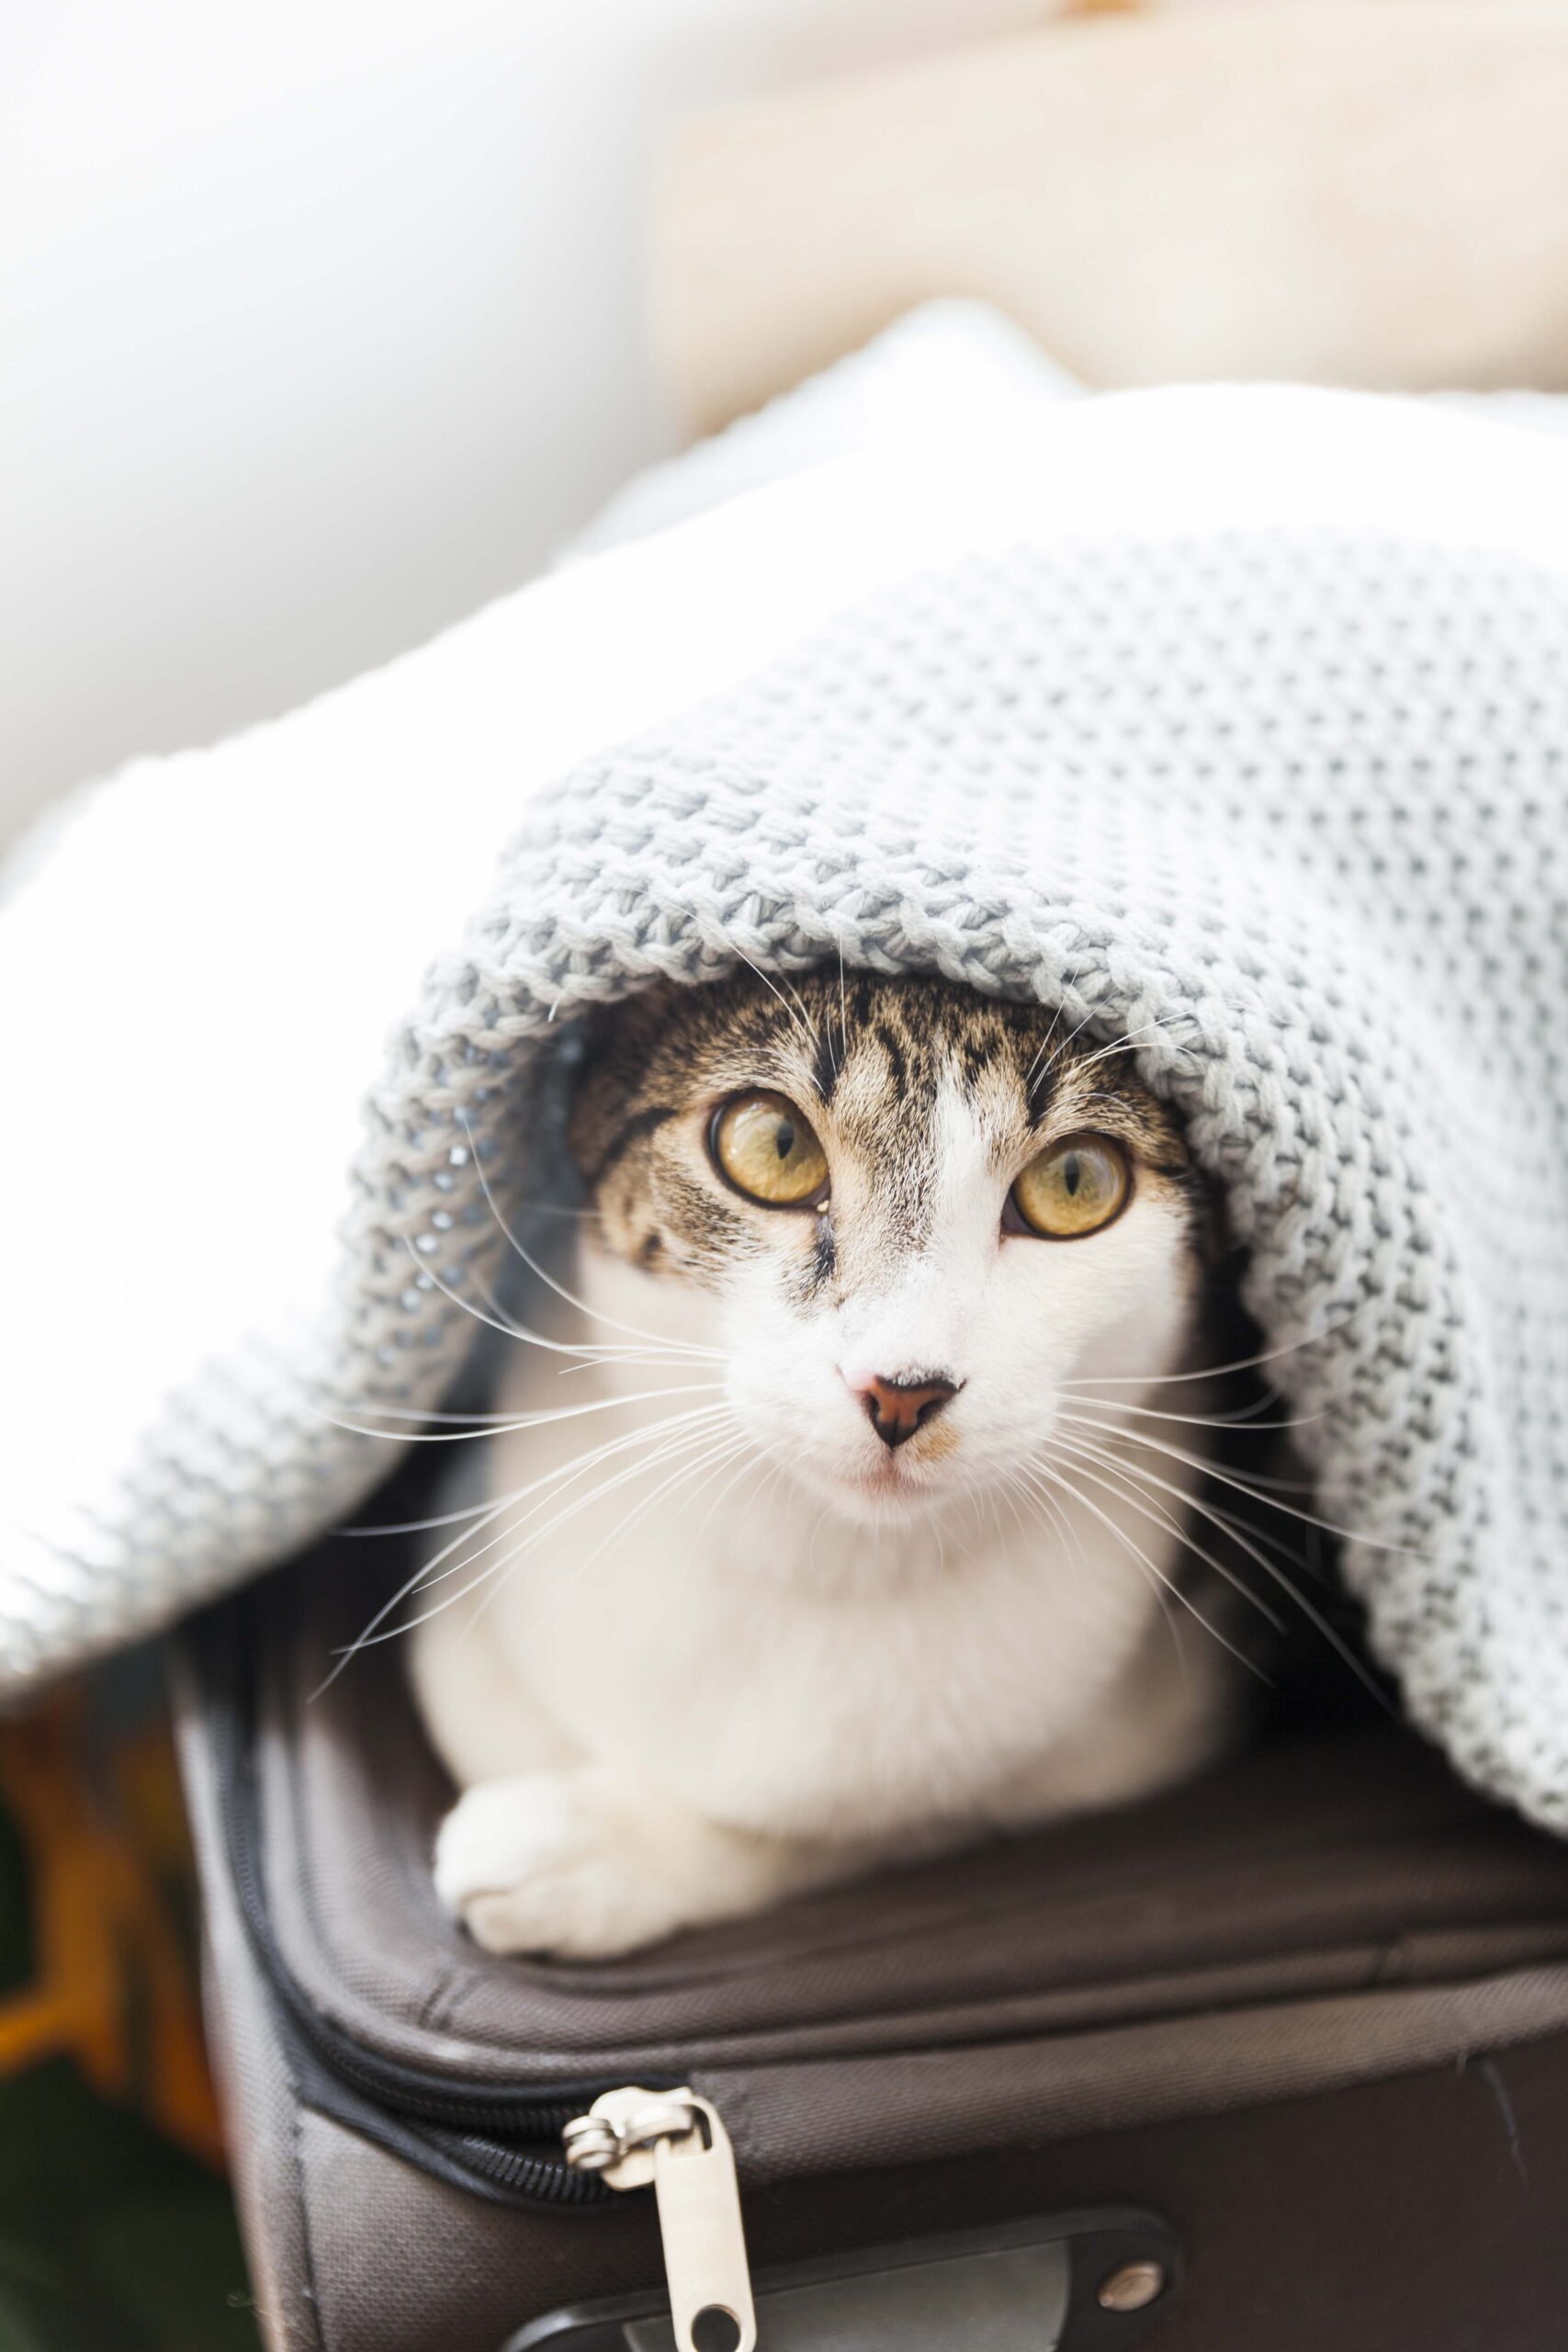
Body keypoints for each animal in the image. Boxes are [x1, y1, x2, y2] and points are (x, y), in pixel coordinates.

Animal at [411, 964, 1259, 1956]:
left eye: (1076, 1180)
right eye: (774, 1146)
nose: (901, 1389)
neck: (830, 1565)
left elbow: (897, 1816)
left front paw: (590, 1848)